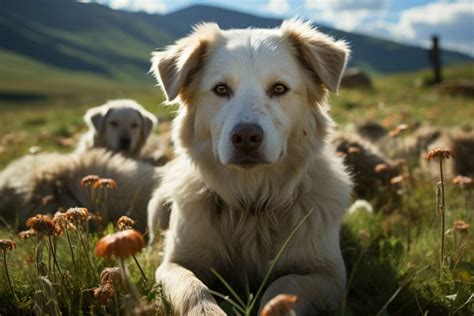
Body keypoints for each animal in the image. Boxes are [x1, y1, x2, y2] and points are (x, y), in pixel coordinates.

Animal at [148, 18, 352, 314]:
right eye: (221, 89)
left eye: (279, 89)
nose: (246, 137)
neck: (251, 206)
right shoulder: (174, 264)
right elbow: (194, 290)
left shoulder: (329, 274)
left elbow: (284, 285)